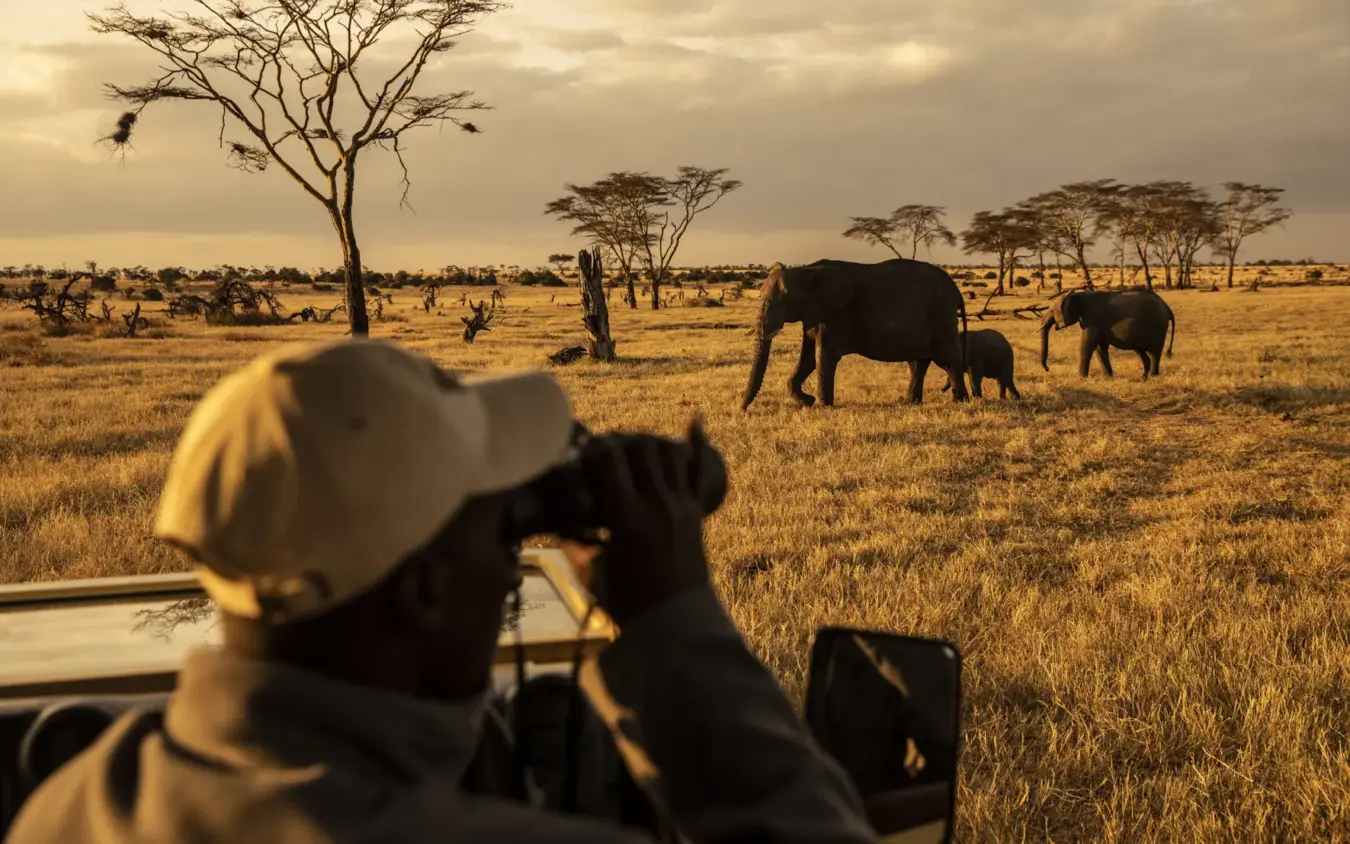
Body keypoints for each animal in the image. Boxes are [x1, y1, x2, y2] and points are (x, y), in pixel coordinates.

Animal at [741, 258, 969, 409]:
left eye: (787, 299)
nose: (743, 410)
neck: (805, 271)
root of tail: (957, 292)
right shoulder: (815, 314)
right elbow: (807, 358)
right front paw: (807, 401)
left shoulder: (835, 314)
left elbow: (823, 356)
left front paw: (822, 406)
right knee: (918, 363)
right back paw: (910, 402)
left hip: (941, 313)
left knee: (948, 360)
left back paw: (960, 402)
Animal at [1040, 287, 1175, 378]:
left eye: (1052, 311)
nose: (1048, 369)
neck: (1078, 296)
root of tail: (1166, 307)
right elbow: (1100, 348)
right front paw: (1108, 377)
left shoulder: (1092, 320)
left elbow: (1087, 346)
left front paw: (1081, 378)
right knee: (1141, 351)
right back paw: (1143, 377)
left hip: (1158, 326)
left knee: (1154, 352)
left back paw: (1153, 376)